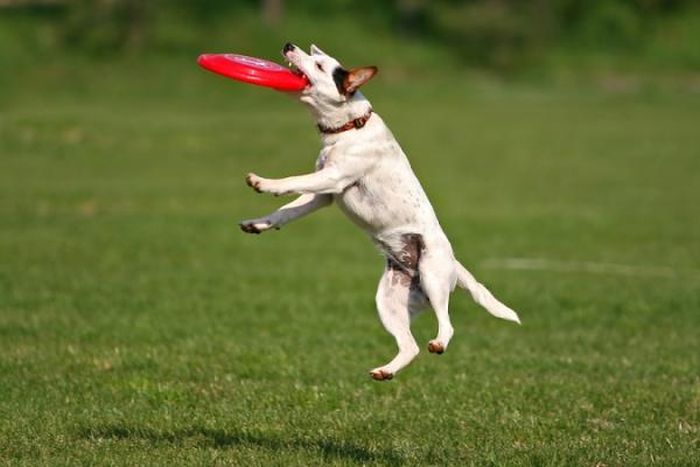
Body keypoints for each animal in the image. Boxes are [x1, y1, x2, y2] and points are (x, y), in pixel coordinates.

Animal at [241, 43, 520, 380]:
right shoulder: (325, 195)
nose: (288, 45)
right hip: (389, 301)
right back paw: (385, 371)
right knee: (410, 346)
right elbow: (286, 211)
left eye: (319, 65)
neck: (349, 126)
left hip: (433, 274)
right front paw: (258, 223)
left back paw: (438, 342)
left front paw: (263, 182)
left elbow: (291, 182)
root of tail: (454, 263)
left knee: (447, 324)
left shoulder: (333, 178)